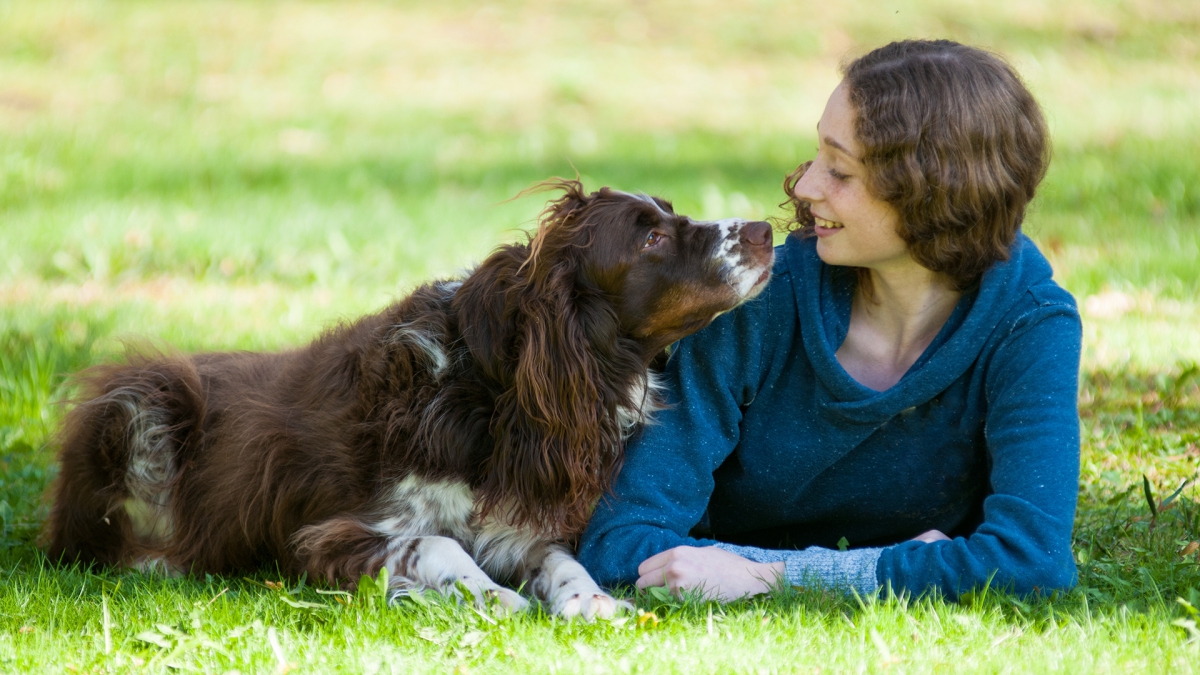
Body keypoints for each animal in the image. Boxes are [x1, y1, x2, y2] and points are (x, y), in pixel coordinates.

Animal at [42, 177, 772, 614]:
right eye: (651, 236)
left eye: (672, 214)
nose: (765, 230)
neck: (492, 390)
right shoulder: (331, 534)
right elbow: (439, 546)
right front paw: (492, 597)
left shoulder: (518, 523)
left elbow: (560, 559)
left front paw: (592, 601)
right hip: (146, 394)